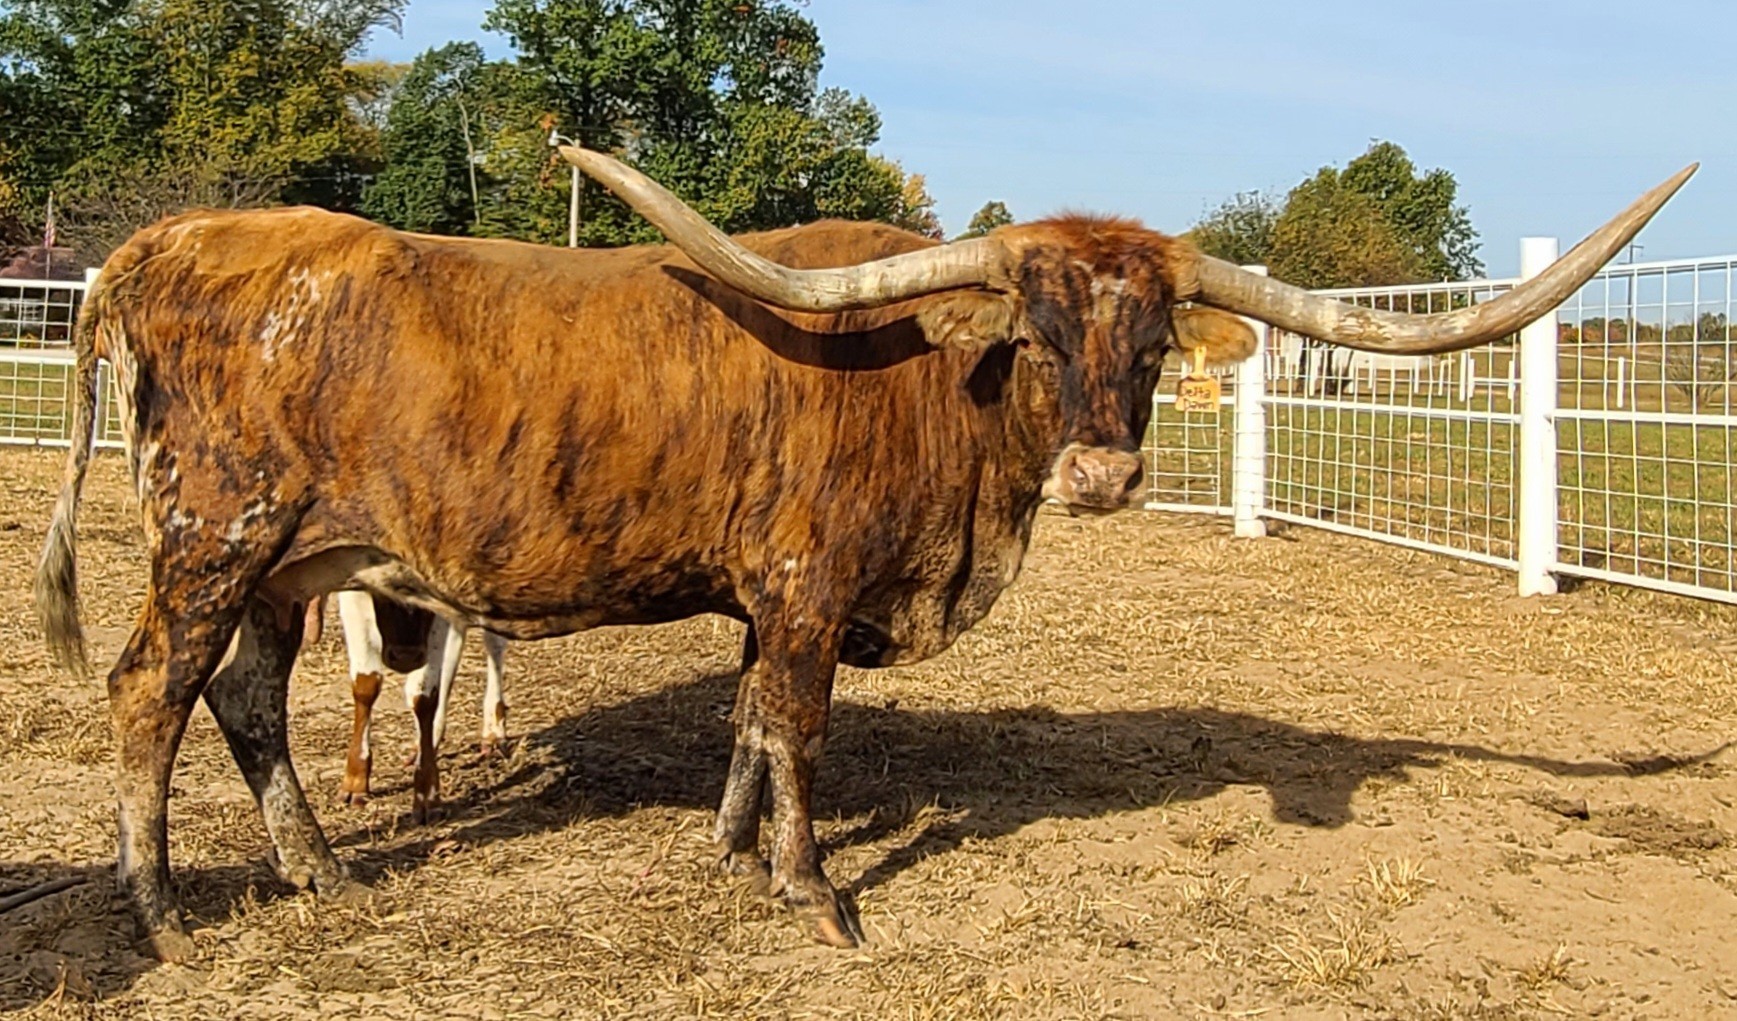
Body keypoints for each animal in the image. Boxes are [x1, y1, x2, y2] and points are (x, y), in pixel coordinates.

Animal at [34, 145, 1692, 959]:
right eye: (1037, 332)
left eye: (1155, 340)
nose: (1104, 471)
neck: (926, 391)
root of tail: (163, 245)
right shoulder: (809, 589)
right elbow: (802, 731)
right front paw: (809, 888)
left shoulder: (769, 601)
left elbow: (750, 724)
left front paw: (728, 848)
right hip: (210, 537)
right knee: (147, 696)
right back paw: (163, 910)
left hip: (291, 567)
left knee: (248, 704)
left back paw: (319, 872)